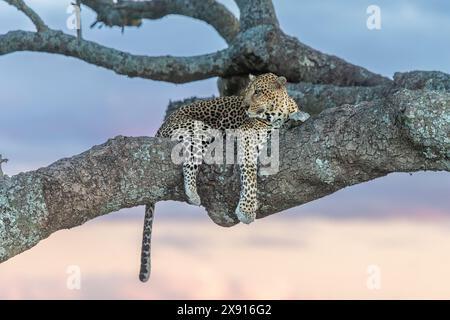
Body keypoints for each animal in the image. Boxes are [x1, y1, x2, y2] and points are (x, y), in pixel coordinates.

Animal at [139, 73, 304, 282]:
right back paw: (192, 192)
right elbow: (249, 171)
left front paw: (297, 117)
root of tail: (163, 125)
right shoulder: (247, 134)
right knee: (190, 158)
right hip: (199, 130)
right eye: (246, 91)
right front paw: (247, 210)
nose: (245, 106)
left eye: (257, 92)